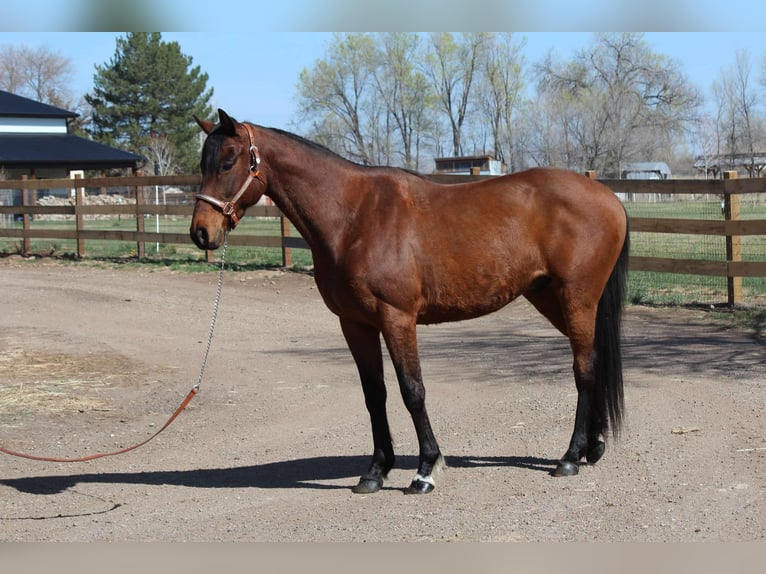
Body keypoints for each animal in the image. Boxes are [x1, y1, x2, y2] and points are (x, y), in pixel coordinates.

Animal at [190, 109, 629, 495]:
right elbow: (375, 395)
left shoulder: (396, 318)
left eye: (227, 161)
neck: (353, 217)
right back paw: (592, 447)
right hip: (550, 299)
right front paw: (375, 472)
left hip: (576, 299)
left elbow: (411, 390)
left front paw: (425, 470)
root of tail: (608, 196)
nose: (200, 232)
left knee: (584, 369)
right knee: (593, 361)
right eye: (202, 164)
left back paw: (570, 457)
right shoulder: (355, 324)